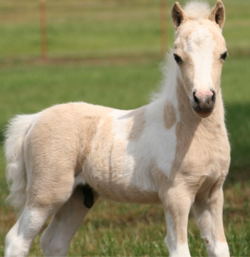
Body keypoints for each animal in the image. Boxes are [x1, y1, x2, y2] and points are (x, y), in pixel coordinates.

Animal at [4, 1, 230, 255]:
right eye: (177, 57)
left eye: (223, 54)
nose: (203, 100)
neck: (188, 133)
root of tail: (33, 120)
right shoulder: (175, 195)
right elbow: (179, 248)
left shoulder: (212, 194)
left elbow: (220, 247)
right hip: (46, 194)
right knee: (17, 239)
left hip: (78, 197)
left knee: (54, 241)